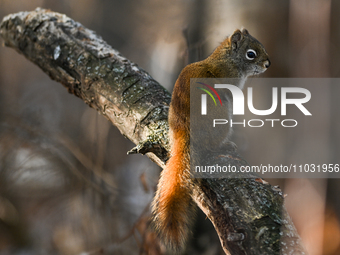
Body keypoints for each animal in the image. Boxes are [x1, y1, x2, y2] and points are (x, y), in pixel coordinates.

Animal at [151, 28, 270, 251]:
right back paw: (225, 146)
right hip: (221, 117)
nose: (268, 64)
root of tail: (184, 134)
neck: (228, 59)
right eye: (251, 54)